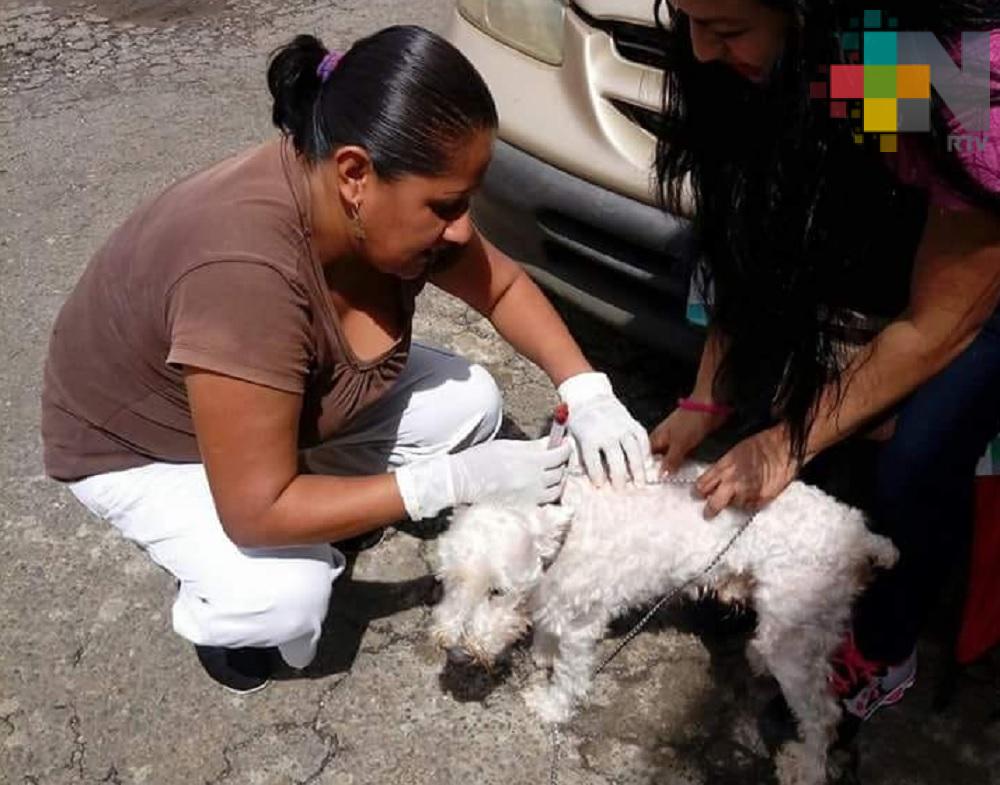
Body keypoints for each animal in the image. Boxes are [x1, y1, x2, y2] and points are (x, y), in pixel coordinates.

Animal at [430, 460, 900, 784]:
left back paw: (807, 767)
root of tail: (860, 534)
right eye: (449, 581)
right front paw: (542, 652)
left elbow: (570, 674)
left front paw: (551, 705)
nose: (455, 649)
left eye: (496, 591)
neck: (565, 529)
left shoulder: (584, 624)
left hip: (797, 633)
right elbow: (548, 629)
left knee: (823, 715)